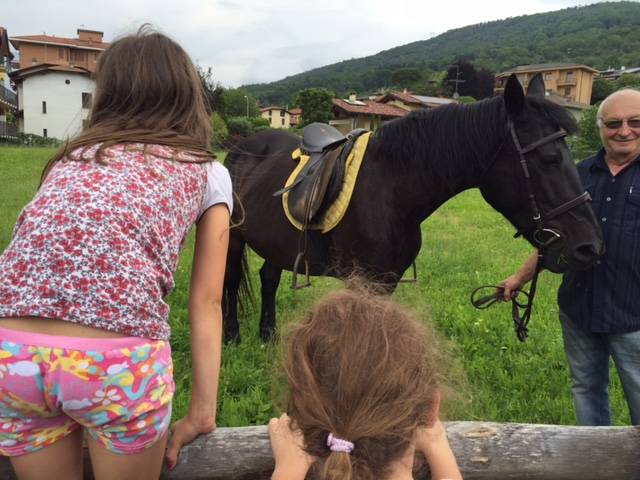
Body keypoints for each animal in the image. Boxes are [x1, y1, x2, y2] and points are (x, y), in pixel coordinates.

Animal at [225, 74, 604, 342]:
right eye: (549, 158)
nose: (590, 247)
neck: (390, 190)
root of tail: (242, 147)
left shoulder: (386, 282)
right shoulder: (364, 283)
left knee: (269, 278)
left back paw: (268, 335)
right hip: (232, 239)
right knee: (230, 281)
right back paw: (232, 336)